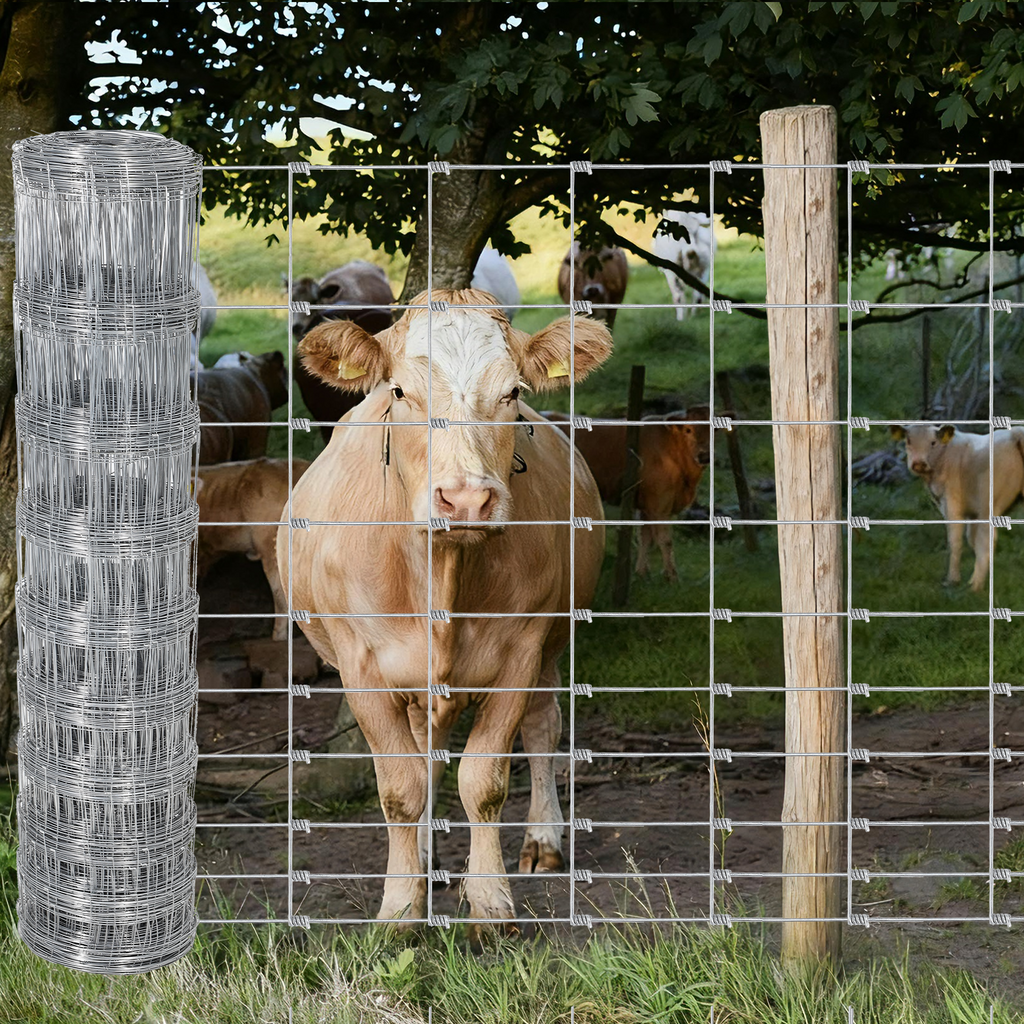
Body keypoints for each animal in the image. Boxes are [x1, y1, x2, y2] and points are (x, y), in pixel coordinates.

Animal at [279, 289, 611, 938]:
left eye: (512, 393)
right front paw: (400, 907)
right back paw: (427, 859)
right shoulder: (362, 666)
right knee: (426, 755)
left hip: (551, 645)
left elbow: (483, 781)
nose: (465, 499)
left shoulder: (521, 651)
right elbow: (401, 788)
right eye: (400, 391)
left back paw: (542, 840)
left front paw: (490, 904)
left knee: (542, 727)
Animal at [543, 407, 712, 581]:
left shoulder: (647, 505)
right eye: (688, 430)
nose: (704, 455)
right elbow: (665, 540)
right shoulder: (660, 503)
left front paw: (642, 572)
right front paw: (672, 577)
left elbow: (645, 538)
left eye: (713, 430)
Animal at [890, 423, 1024, 591]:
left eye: (933, 442)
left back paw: (975, 586)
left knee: (987, 540)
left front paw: (952, 580)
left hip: (988, 505)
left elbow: (955, 541)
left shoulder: (952, 504)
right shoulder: (972, 512)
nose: (918, 463)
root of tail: (1014, 433)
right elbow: (971, 539)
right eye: (908, 441)